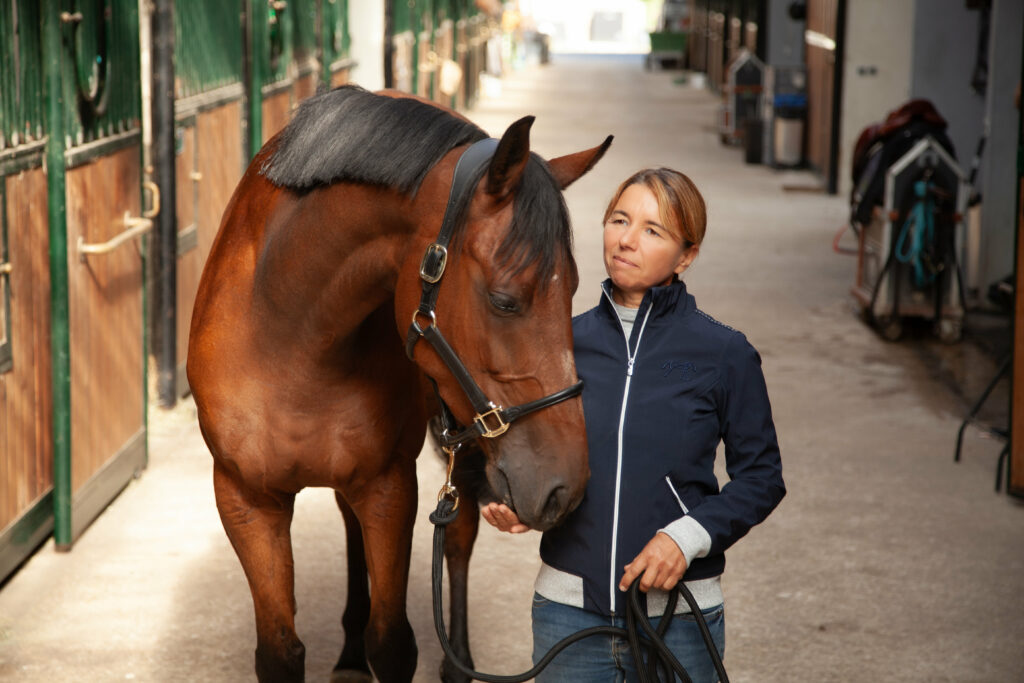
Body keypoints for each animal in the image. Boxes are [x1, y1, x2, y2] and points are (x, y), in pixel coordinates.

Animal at [186, 84, 611, 682]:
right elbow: (280, 651)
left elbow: (391, 641)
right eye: (505, 300)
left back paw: (458, 662)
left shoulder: (388, 487)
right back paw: (348, 654)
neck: (286, 331)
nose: (566, 490)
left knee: (458, 535)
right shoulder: (246, 499)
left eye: (574, 287)